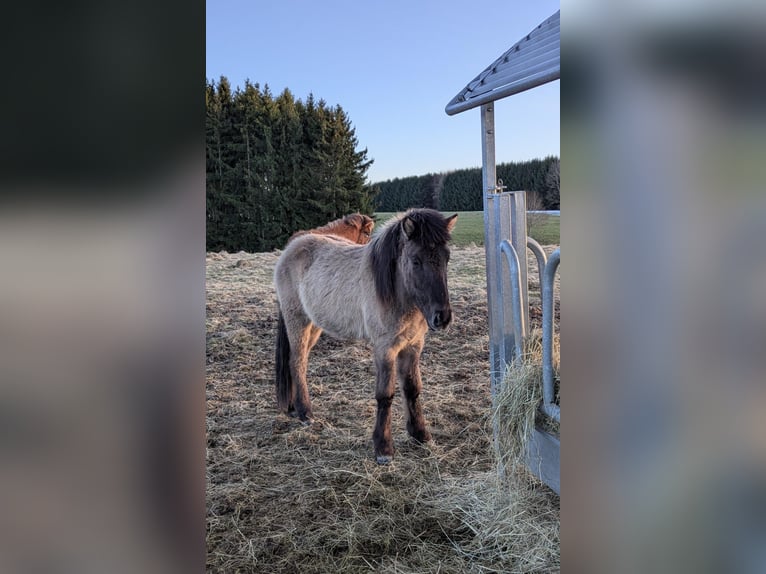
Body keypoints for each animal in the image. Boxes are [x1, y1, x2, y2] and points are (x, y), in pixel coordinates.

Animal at [274, 208, 458, 464]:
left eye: (446, 258)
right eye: (416, 260)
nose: (442, 317)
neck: (398, 294)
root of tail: (293, 246)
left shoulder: (413, 345)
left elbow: (412, 389)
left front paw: (420, 434)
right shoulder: (384, 348)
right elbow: (385, 394)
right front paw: (383, 448)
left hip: (313, 325)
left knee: (298, 361)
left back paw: (293, 407)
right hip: (297, 321)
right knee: (297, 361)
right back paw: (305, 413)